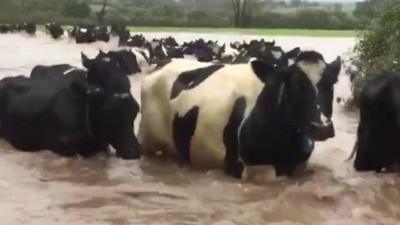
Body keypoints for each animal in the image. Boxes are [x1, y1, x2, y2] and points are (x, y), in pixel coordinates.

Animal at [139, 51, 342, 178]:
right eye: (294, 85)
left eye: (331, 84)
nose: (321, 127)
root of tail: (163, 63)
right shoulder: (250, 169)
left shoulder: (299, 165)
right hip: (150, 144)